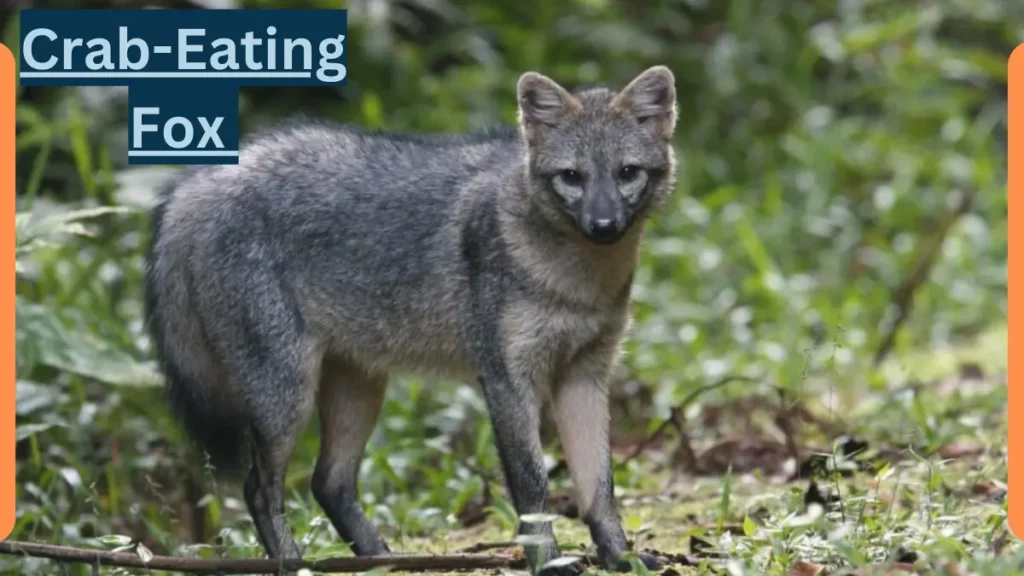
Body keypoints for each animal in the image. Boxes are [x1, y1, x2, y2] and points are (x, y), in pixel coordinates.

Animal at [140, 65, 675, 569]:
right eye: (572, 177)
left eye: (627, 172)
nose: (603, 225)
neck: (577, 284)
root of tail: (206, 176)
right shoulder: (506, 378)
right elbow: (533, 488)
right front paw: (549, 563)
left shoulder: (584, 375)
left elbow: (599, 489)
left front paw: (620, 557)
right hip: (286, 399)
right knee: (260, 488)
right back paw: (294, 565)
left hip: (357, 390)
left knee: (327, 482)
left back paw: (379, 559)